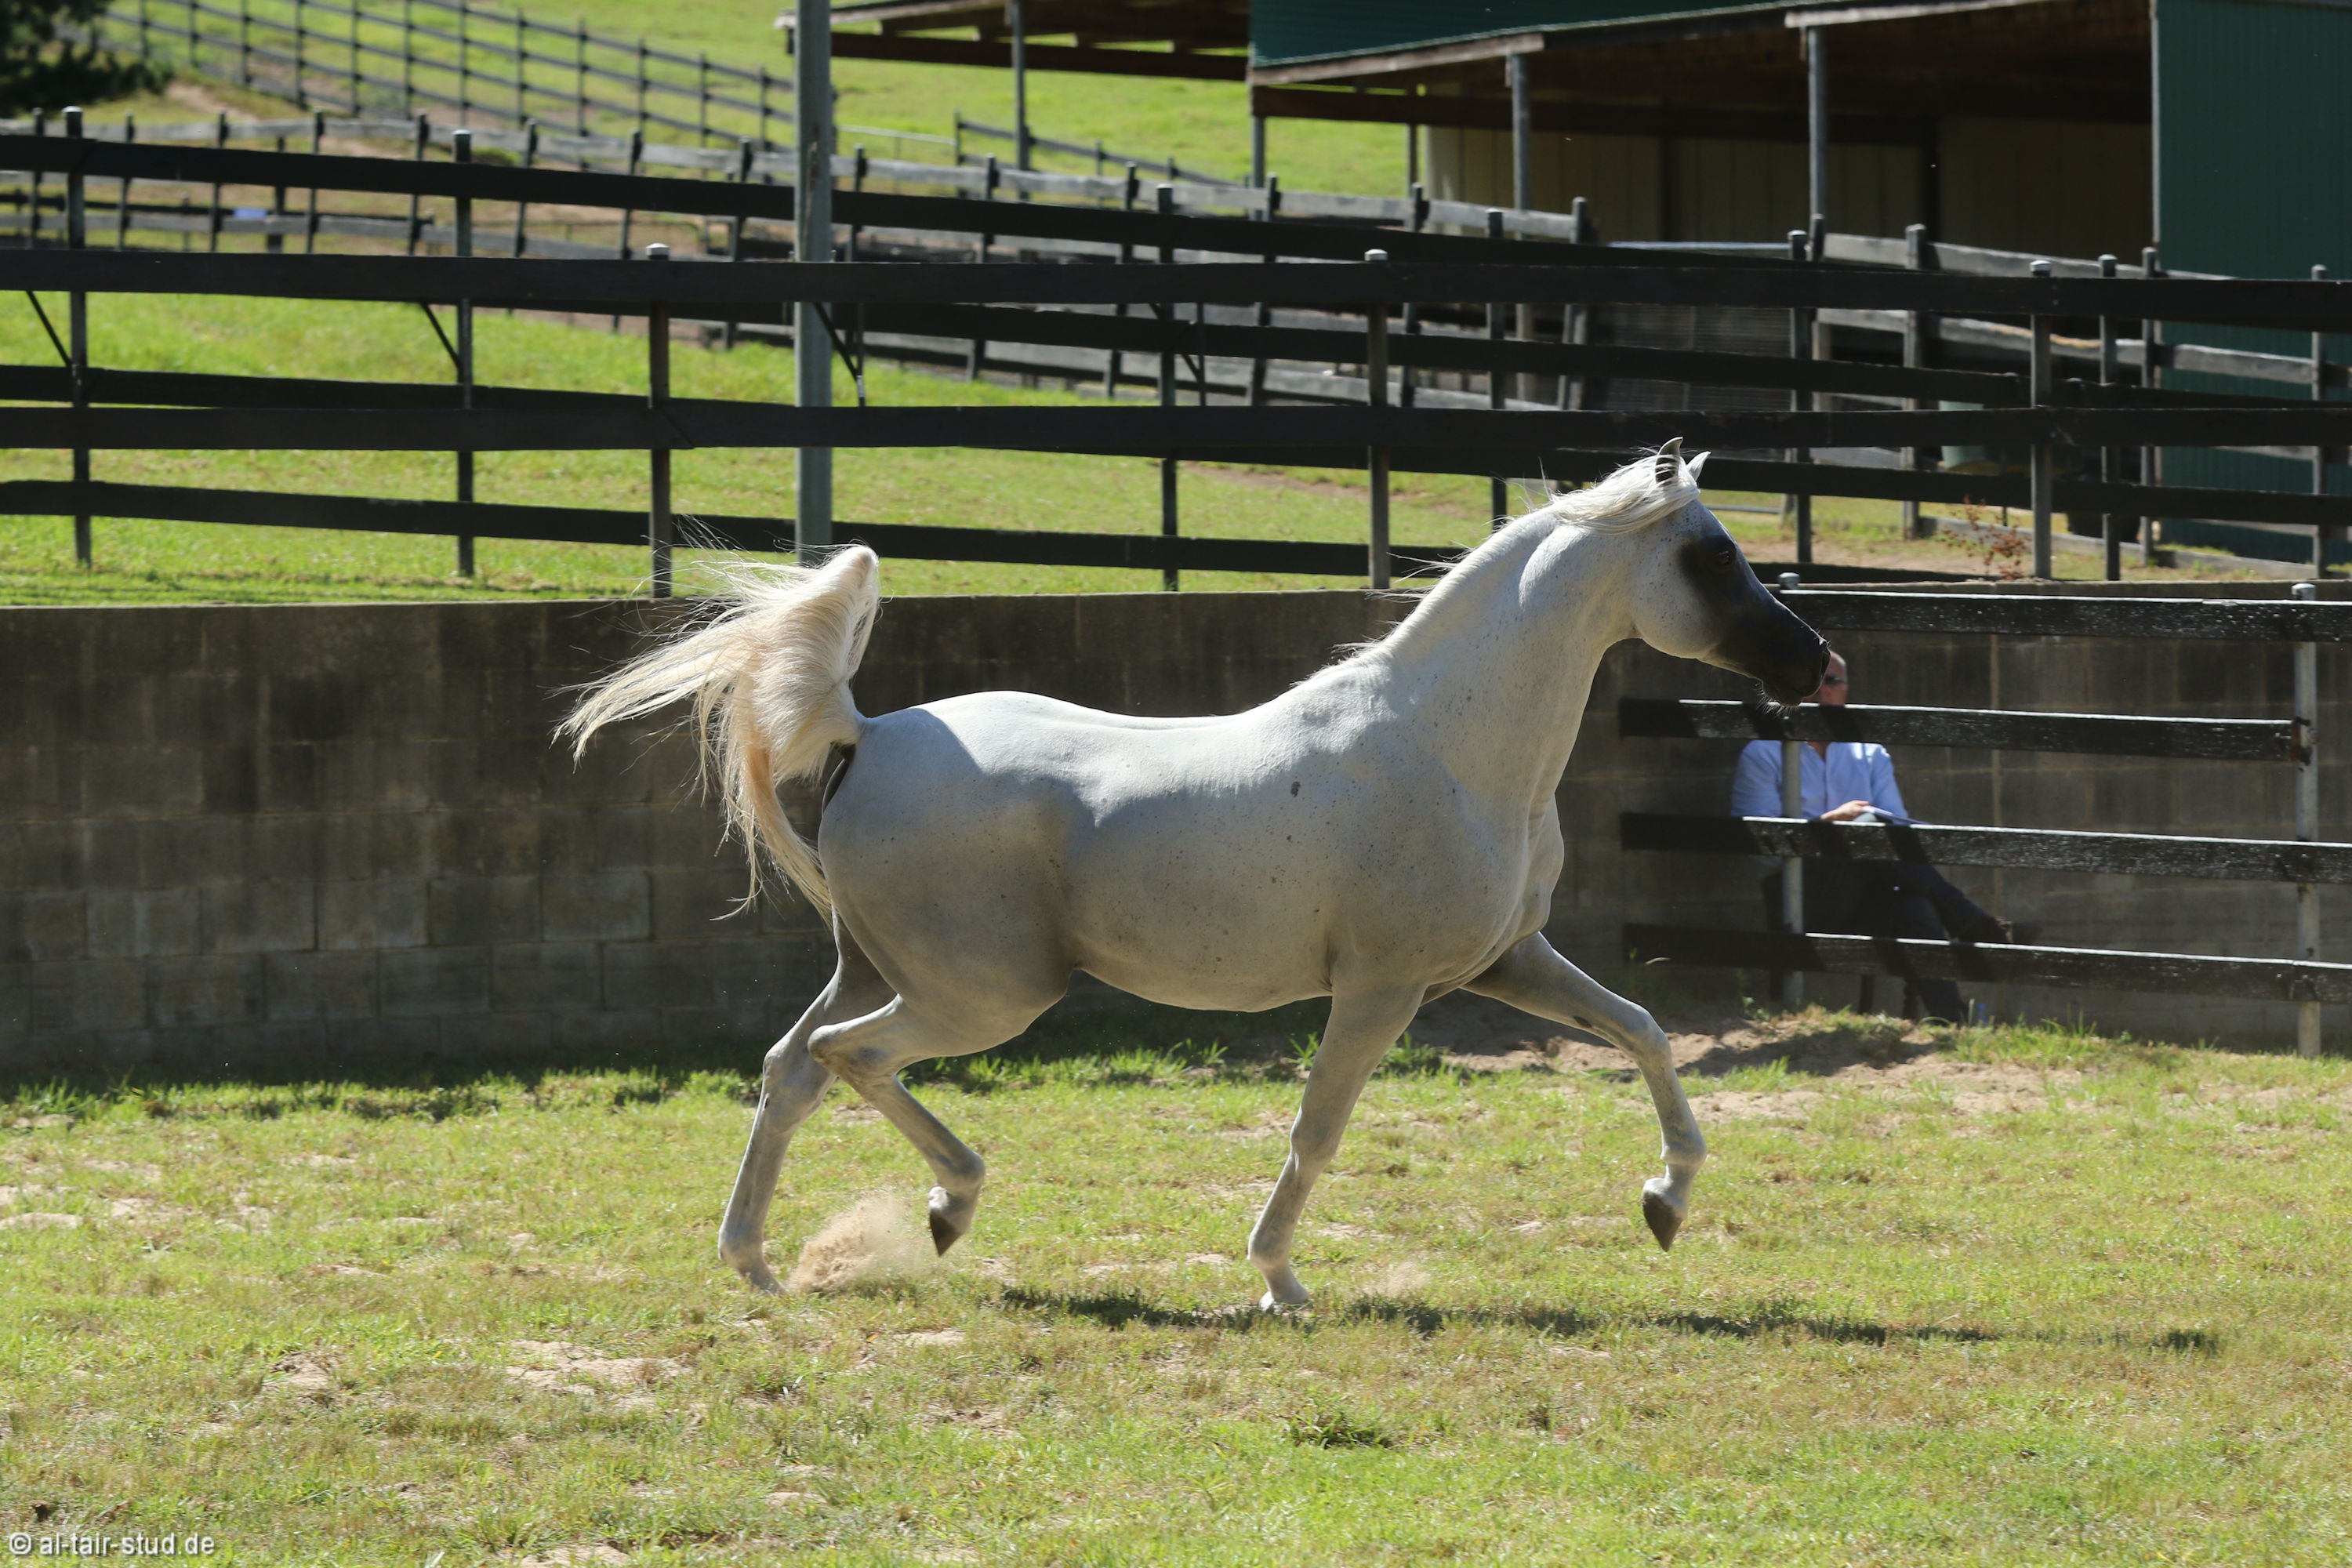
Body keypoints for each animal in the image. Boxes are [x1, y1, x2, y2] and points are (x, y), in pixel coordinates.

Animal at [563, 441, 1826, 1307]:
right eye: (1710, 554)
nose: (1818, 663)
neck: (1446, 745)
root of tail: (867, 732)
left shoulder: (1506, 961)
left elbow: (1646, 1032)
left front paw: (1664, 1205)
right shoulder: (1382, 986)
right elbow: (1317, 1127)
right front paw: (1279, 1281)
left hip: (886, 968)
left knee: (790, 1067)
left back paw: (760, 1263)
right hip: (981, 995)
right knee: (843, 1057)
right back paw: (944, 1208)